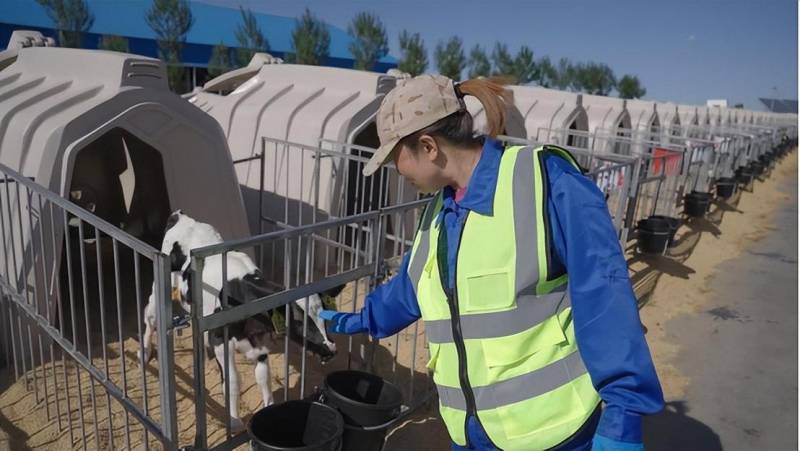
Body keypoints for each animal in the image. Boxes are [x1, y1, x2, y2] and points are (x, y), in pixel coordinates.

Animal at [141, 211, 340, 430]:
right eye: (299, 321)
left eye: (325, 316)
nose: (331, 349)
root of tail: (180, 216)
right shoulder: (221, 341)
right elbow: (232, 381)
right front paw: (235, 422)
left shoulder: (260, 343)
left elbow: (263, 377)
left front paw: (268, 407)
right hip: (160, 288)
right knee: (150, 316)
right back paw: (145, 352)